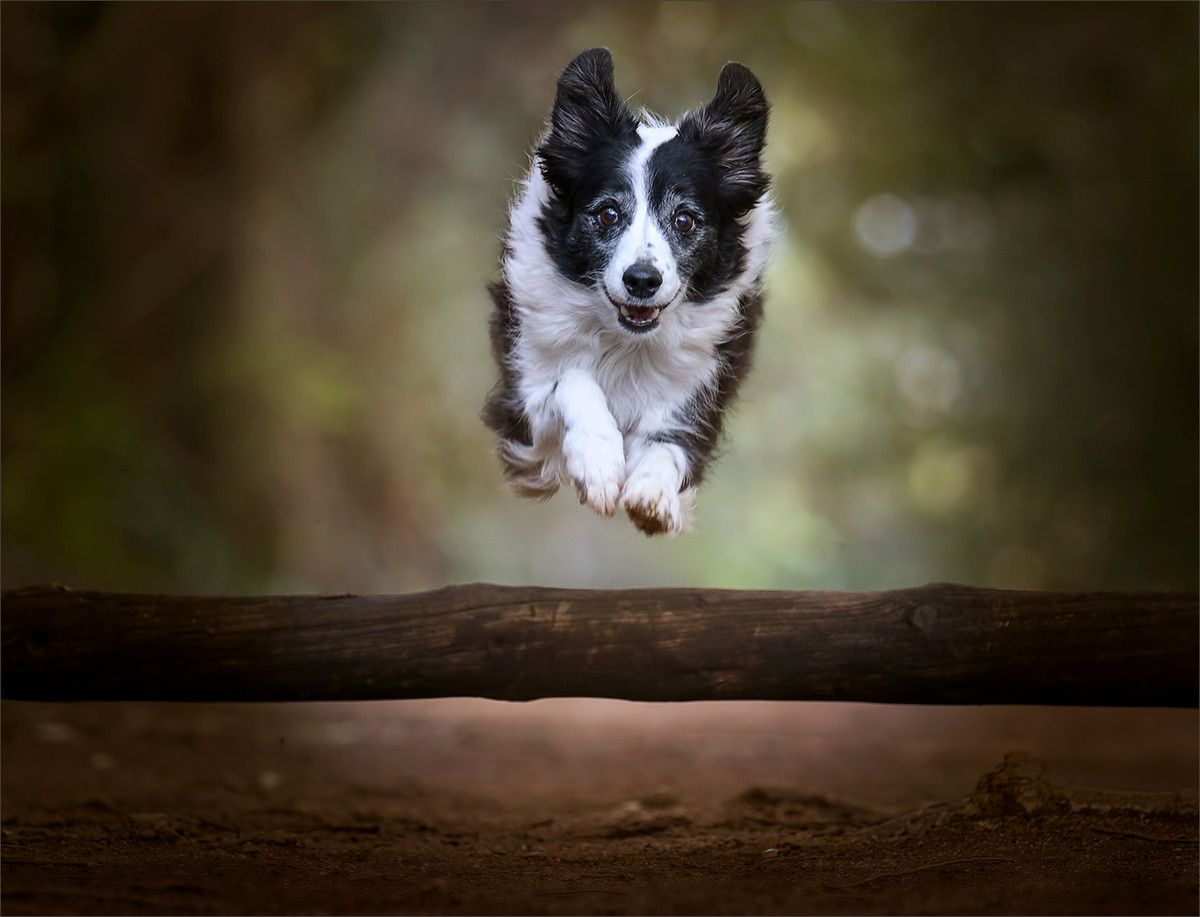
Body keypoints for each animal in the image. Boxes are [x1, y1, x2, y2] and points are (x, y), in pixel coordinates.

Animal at [480, 48, 777, 537]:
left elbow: (670, 443)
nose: (641, 280)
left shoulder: (700, 389)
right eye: (607, 214)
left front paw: (653, 493)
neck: (624, 343)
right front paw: (599, 463)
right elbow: (570, 379)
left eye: (684, 220)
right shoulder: (522, 418)